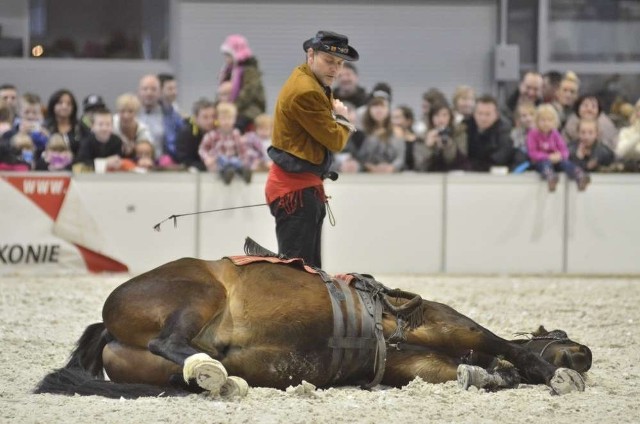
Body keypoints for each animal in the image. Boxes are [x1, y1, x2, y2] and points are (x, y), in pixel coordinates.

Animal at [35, 240, 592, 400]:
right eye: (561, 335)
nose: (586, 352)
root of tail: (108, 322)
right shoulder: (447, 323)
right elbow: (507, 346)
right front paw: (555, 374)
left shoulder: (415, 368)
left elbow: (473, 372)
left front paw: (488, 374)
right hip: (198, 293)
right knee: (173, 341)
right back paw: (214, 369)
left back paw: (217, 378)